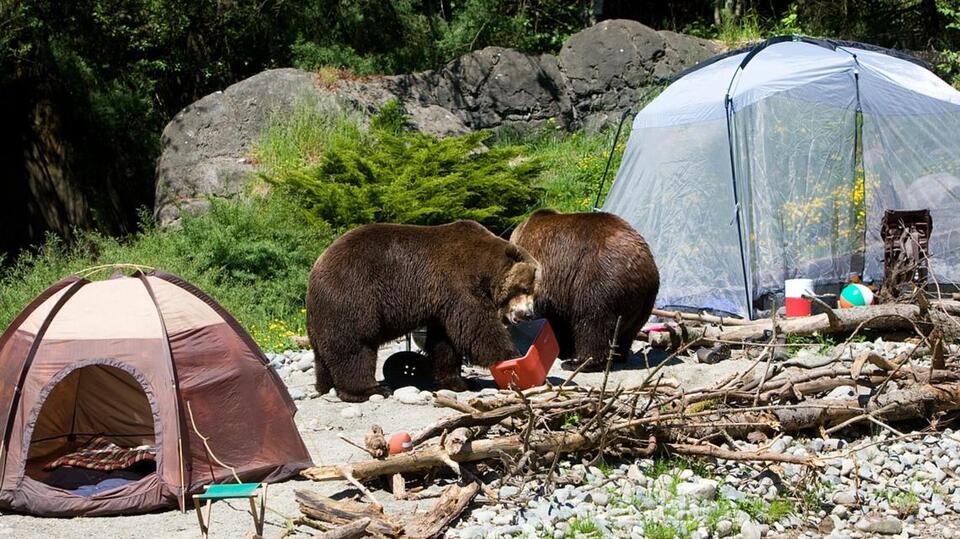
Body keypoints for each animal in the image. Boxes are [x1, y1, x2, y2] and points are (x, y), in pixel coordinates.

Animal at [306, 220, 540, 402]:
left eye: (534, 290)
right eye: (525, 288)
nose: (528, 314)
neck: (483, 269)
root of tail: (316, 268)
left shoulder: (442, 303)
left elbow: (444, 341)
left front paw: (459, 380)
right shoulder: (459, 284)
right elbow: (478, 327)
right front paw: (513, 355)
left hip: (324, 314)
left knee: (325, 352)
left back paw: (325, 385)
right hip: (354, 295)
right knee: (356, 346)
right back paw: (371, 389)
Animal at [510, 208, 659, 371]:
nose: (515, 317)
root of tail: (647, 267)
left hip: (600, 279)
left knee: (592, 322)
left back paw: (579, 363)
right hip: (644, 301)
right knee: (627, 331)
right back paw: (618, 355)